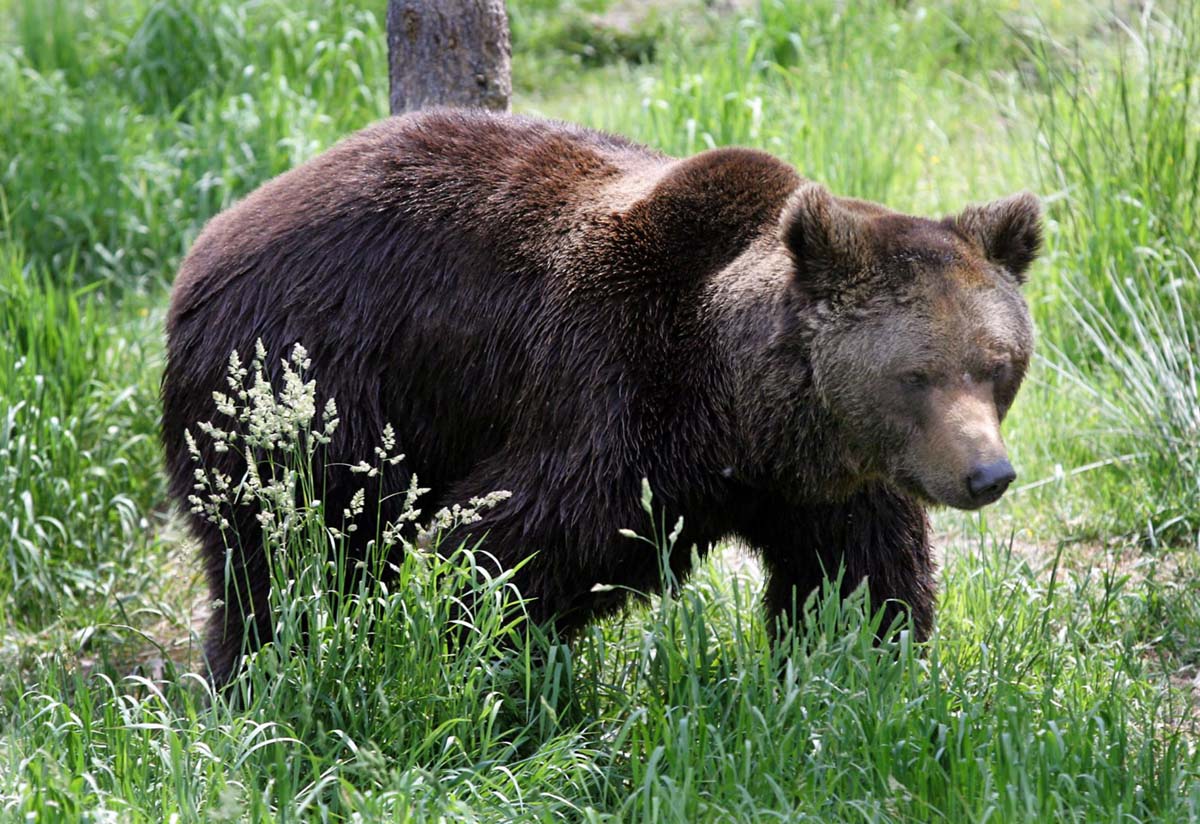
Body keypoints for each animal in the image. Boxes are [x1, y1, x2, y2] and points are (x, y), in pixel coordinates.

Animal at [162, 110, 1041, 690]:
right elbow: (505, 553)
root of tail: (215, 233)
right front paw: (495, 674)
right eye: (917, 375)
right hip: (308, 382)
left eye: (997, 364)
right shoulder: (612, 399)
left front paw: (854, 675)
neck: (739, 413)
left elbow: (858, 582)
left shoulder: (828, 484)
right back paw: (260, 670)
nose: (987, 474)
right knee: (292, 548)